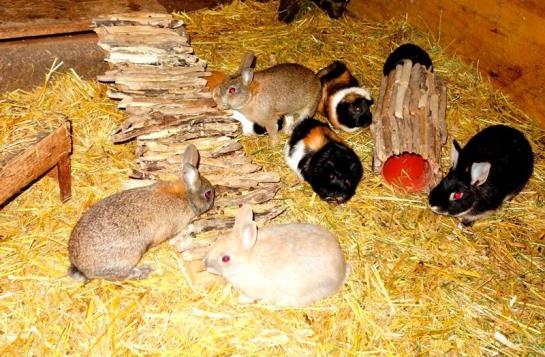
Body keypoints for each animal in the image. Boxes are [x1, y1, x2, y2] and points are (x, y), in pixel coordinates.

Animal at [70, 145, 217, 280]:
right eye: (208, 194)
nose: (213, 202)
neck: (185, 196)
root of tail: (81, 268)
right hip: (130, 257)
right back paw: (144, 271)